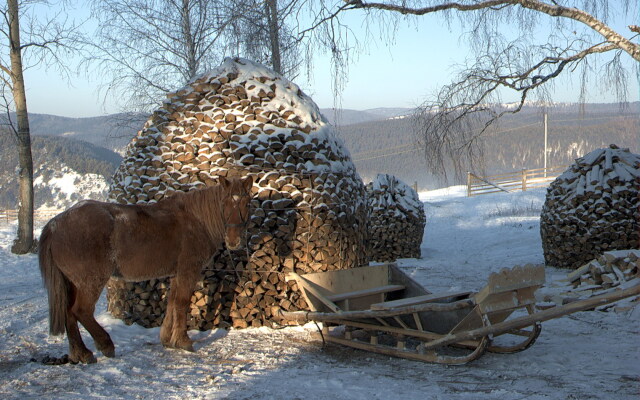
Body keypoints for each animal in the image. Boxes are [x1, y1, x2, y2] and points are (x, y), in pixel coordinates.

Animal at [37, 177, 252, 364]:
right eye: (224, 202)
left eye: (246, 202)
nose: (234, 241)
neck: (196, 220)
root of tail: (56, 224)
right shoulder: (188, 271)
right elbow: (182, 303)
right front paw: (183, 341)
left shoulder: (176, 274)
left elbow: (172, 303)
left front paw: (167, 339)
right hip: (90, 281)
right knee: (81, 311)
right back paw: (105, 345)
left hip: (72, 282)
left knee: (68, 313)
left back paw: (81, 353)